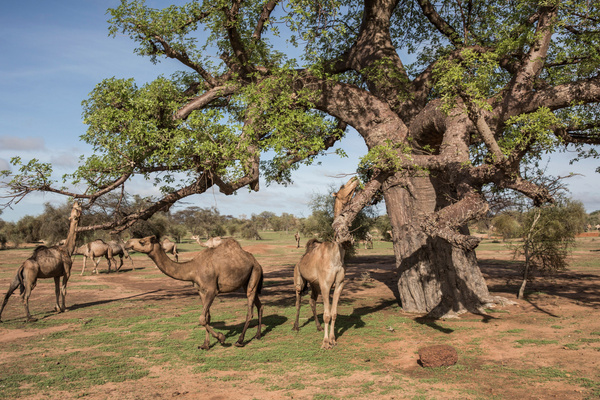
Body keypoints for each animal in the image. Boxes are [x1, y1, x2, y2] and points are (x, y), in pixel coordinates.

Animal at [125, 236, 264, 348]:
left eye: (142, 241)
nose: (127, 243)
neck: (193, 269)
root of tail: (257, 262)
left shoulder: (212, 290)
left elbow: (202, 318)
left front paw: (221, 337)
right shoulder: (201, 291)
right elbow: (207, 317)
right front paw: (205, 345)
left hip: (254, 274)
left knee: (250, 310)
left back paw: (240, 341)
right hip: (247, 281)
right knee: (260, 305)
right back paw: (258, 335)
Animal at [290, 177, 356, 348]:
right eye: (342, 186)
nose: (354, 179)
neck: (336, 255)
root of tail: (300, 261)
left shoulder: (339, 284)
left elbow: (334, 313)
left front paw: (333, 339)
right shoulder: (326, 284)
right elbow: (326, 314)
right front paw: (326, 343)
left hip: (314, 285)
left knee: (312, 301)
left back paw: (318, 327)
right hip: (299, 280)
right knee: (298, 301)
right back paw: (296, 326)